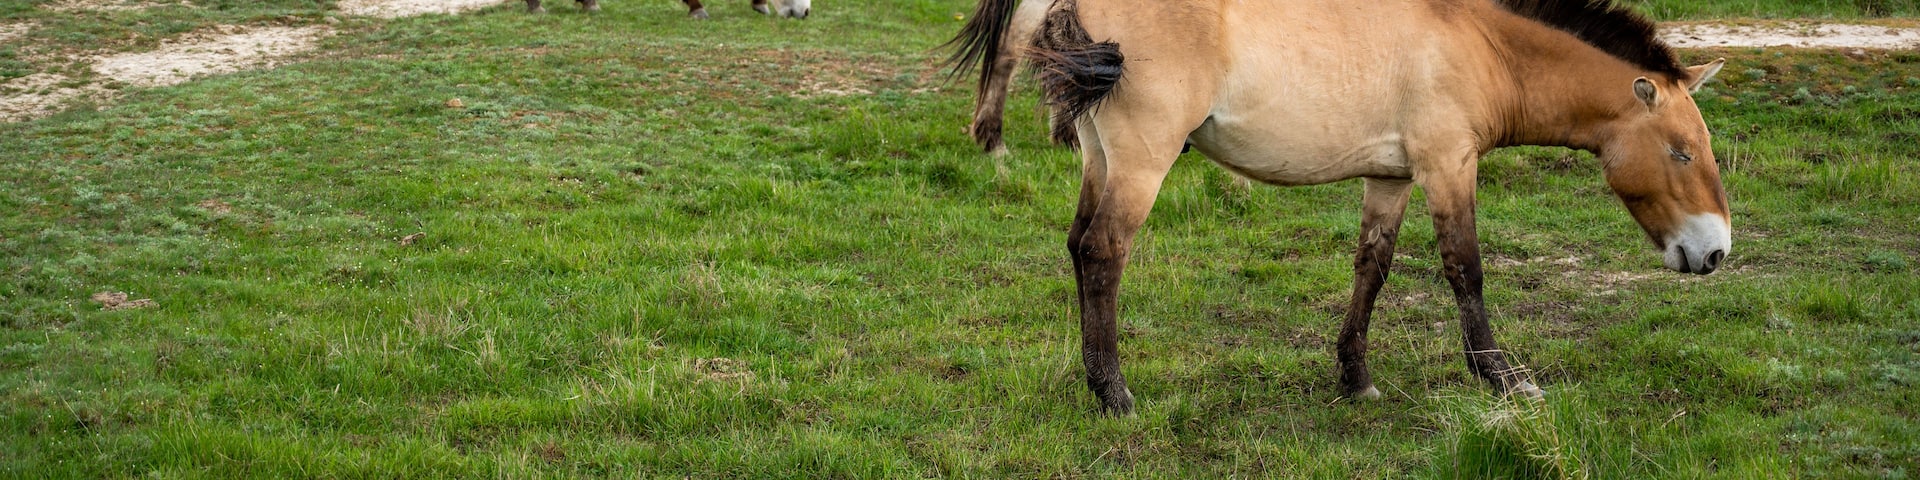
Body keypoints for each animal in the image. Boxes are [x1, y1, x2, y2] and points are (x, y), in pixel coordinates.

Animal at [948, 0, 1731, 415]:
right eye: (1681, 152)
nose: (1716, 251)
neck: (1480, 44)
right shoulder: (1449, 166)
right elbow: (1466, 270)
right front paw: (1503, 378)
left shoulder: (1391, 176)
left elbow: (1372, 269)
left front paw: (1355, 377)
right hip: (1142, 160)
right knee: (1104, 252)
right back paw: (1113, 392)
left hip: (1099, 156)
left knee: (1078, 244)